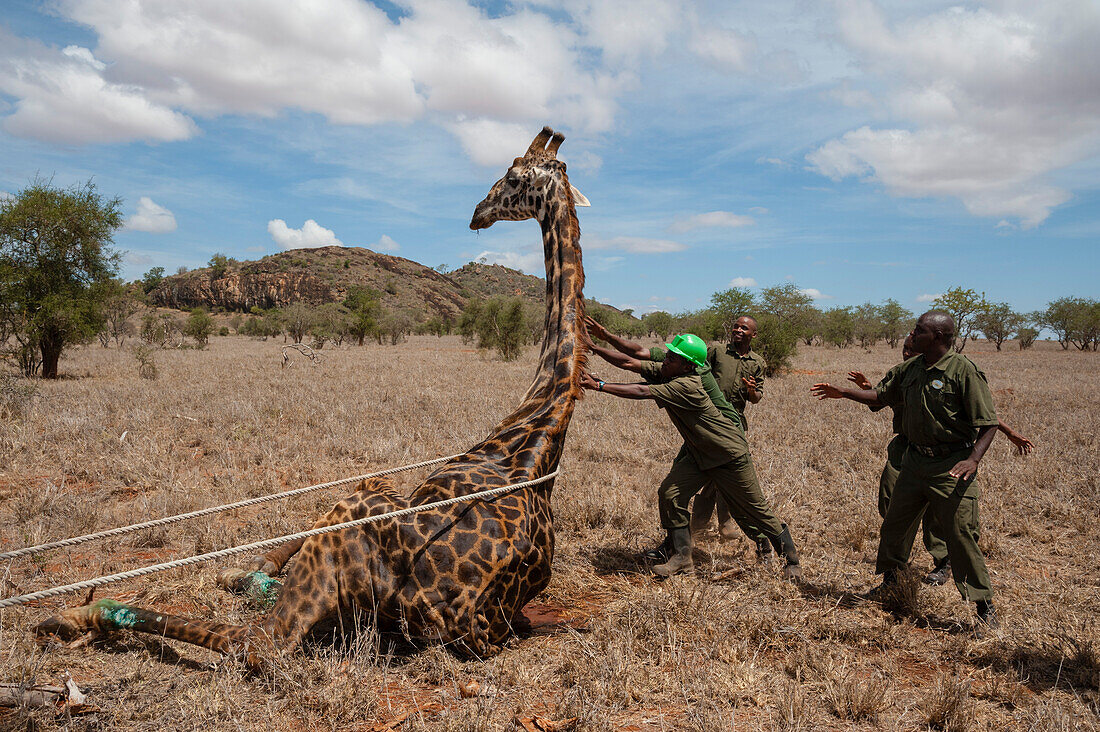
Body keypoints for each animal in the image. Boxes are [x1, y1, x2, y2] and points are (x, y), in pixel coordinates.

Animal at [30, 127, 589, 669]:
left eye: (512, 176)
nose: (477, 212)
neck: (540, 426)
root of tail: (455, 618)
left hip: (344, 531)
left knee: (258, 641)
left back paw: (75, 615)